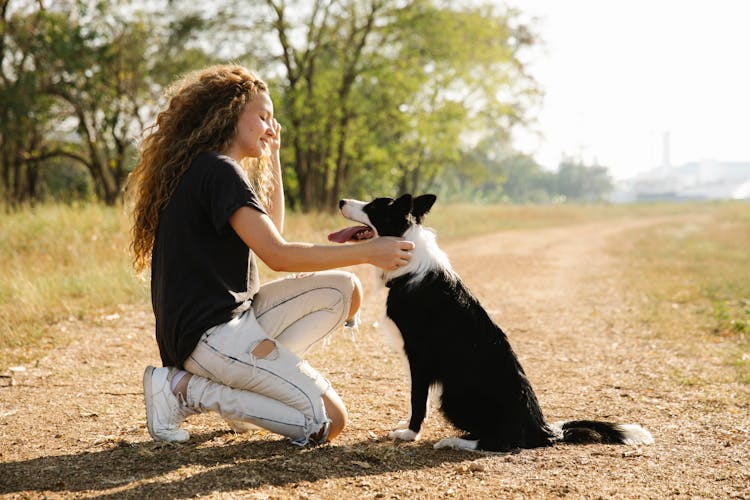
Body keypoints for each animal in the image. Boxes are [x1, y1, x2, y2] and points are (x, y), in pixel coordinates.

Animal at [332, 195, 656, 454]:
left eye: (374, 206)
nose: (341, 201)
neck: (409, 254)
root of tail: (542, 429)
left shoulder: (419, 356)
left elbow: (417, 401)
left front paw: (409, 433)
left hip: (453, 396)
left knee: (499, 442)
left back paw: (454, 442)